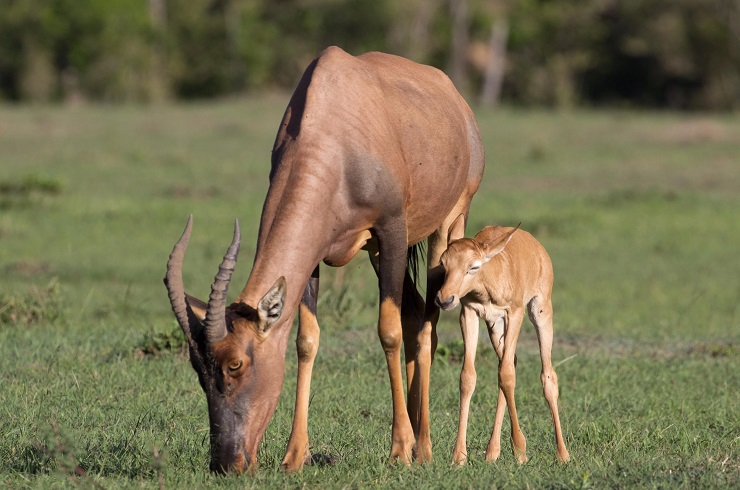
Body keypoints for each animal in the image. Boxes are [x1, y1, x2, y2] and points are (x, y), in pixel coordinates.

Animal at [163, 47, 486, 474]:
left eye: (236, 364)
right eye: (199, 369)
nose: (227, 463)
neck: (331, 127)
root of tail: (457, 100)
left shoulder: (392, 231)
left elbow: (388, 332)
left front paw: (399, 450)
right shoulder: (316, 257)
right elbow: (307, 340)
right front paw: (295, 455)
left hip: (448, 223)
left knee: (429, 318)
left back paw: (426, 447)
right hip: (378, 254)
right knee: (415, 312)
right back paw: (421, 442)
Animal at [436, 217, 568, 464]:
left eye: (473, 266)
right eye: (443, 262)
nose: (444, 299)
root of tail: (537, 247)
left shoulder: (514, 313)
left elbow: (507, 376)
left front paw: (520, 450)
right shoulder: (469, 313)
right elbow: (468, 377)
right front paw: (459, 456)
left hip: (540, 311)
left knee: (547, 375)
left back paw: (563, 454)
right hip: (495, 327)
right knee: (509, 363)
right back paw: (492, 451)